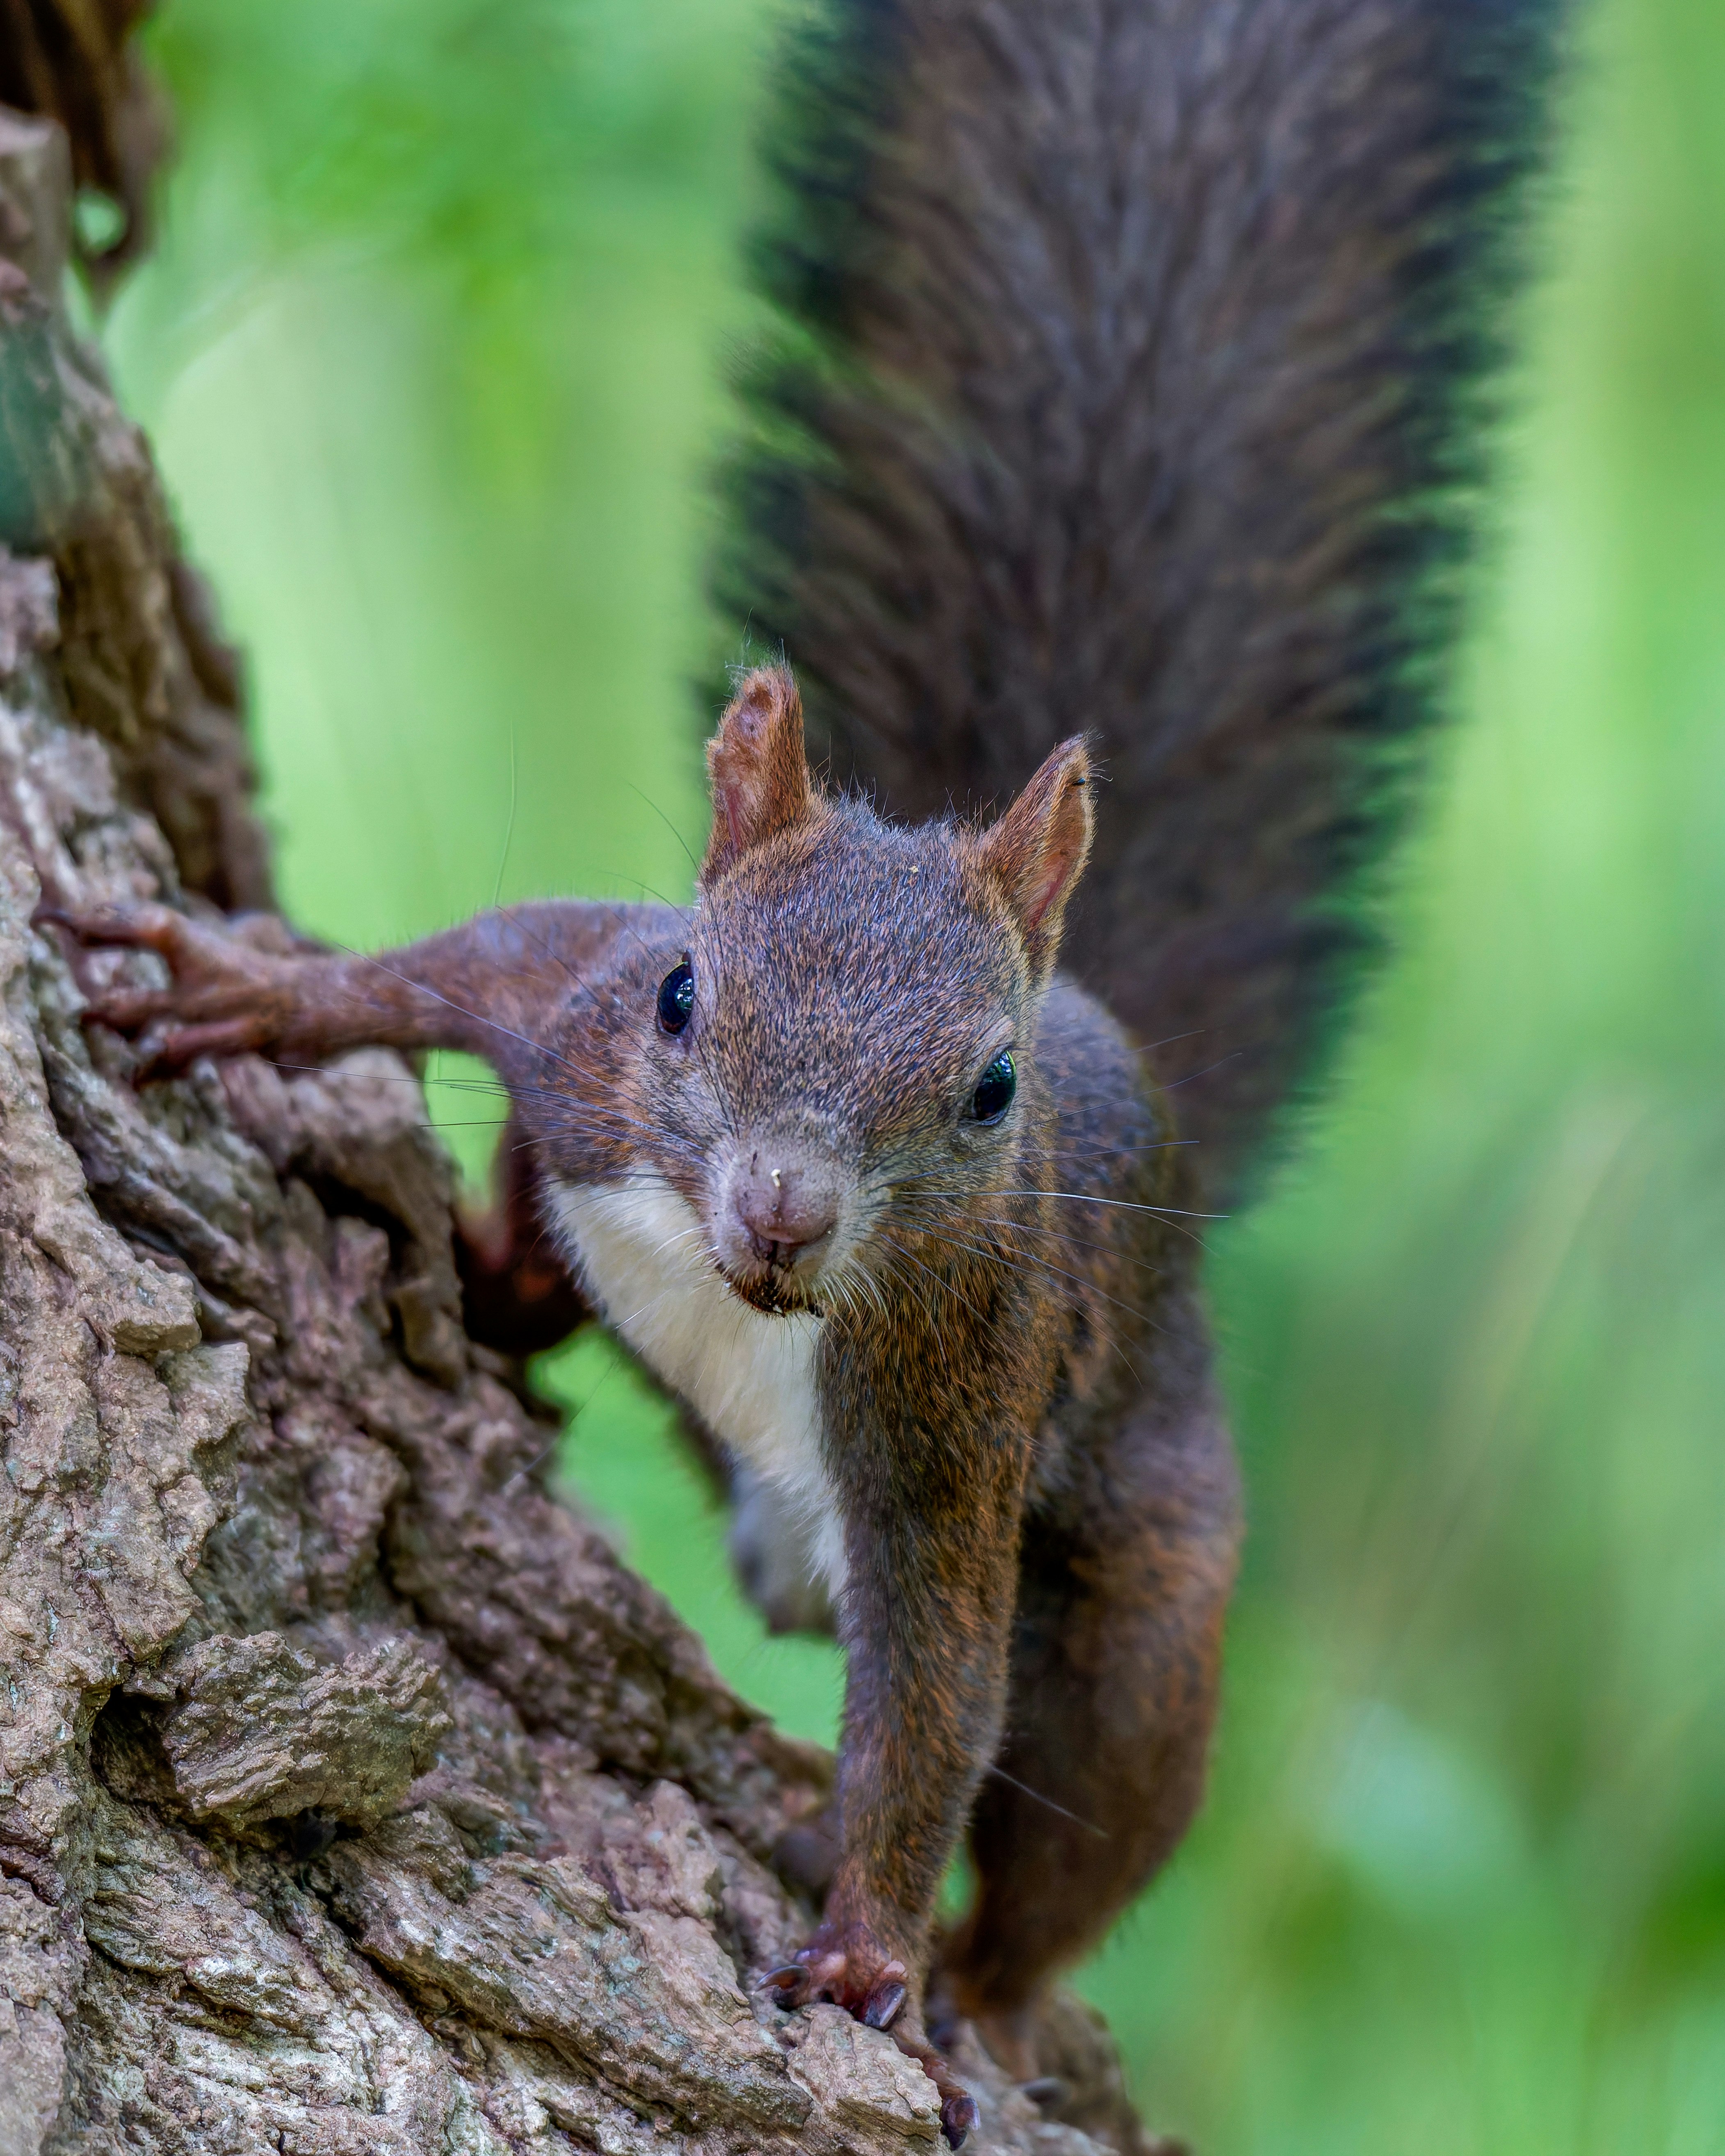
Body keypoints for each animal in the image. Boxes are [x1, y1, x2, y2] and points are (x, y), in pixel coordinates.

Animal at [47, 0, 1560, 2142]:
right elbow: (436, 968)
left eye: (988, 1095)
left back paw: (987, 1991)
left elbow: (933, 1694)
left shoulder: (958, 1392)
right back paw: (496, 1265)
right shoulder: (566, 1013)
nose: (780, 1210)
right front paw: (240, 987)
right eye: (686, 992)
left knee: (1085, 1799)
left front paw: (861, 1951)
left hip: (1146, 1584)